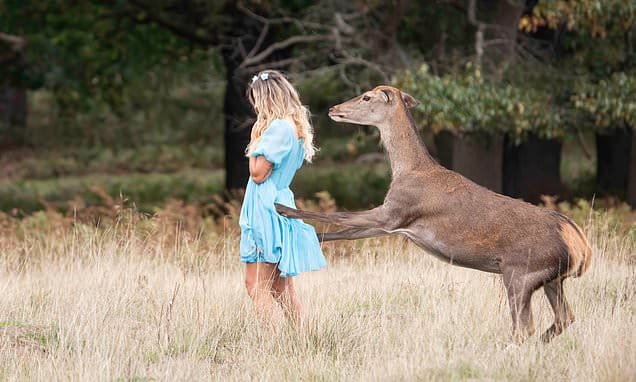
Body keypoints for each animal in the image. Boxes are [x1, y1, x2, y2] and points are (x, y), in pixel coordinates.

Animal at [276, 85, 592, 342]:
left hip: (520, 271)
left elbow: (339, 216)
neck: (408, 170)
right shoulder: (391, 221)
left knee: (524, 327)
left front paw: (284, 209)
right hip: (551, 279)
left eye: (366, 97)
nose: (333, 109)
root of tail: (582, 248)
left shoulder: (395, 210)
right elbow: (343, 233)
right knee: (564, 317)